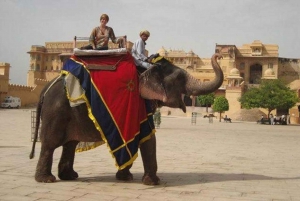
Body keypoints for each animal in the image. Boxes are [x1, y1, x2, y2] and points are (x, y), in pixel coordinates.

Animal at [29, 52, 223, 185]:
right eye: (181, 78)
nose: (218, 54)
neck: (145, 69)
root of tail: (45, 88)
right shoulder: (138, 103)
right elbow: (148, 137)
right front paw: (154, 183)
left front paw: (126, 178)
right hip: (56, 112)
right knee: (50, 144)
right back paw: (47, 180)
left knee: (70, 144)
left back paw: (70, 176)